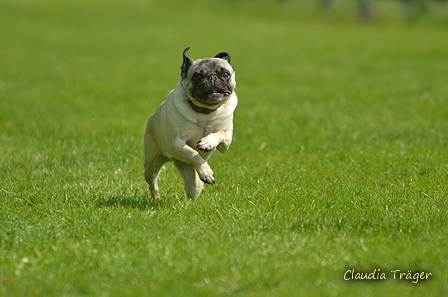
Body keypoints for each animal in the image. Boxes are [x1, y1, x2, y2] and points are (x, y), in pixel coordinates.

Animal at [144, 46, 238, 199]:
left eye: (225, 74)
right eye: (198, 76)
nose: (213, 77)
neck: (205, 111)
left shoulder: (226, 142)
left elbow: (219, 134)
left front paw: (207, 143)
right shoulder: (176, 142)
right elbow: (193, 153)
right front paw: (205, 170)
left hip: (192, 179)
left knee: (193, 188)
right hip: (152, 163)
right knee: (152, 181)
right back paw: (156, 197)